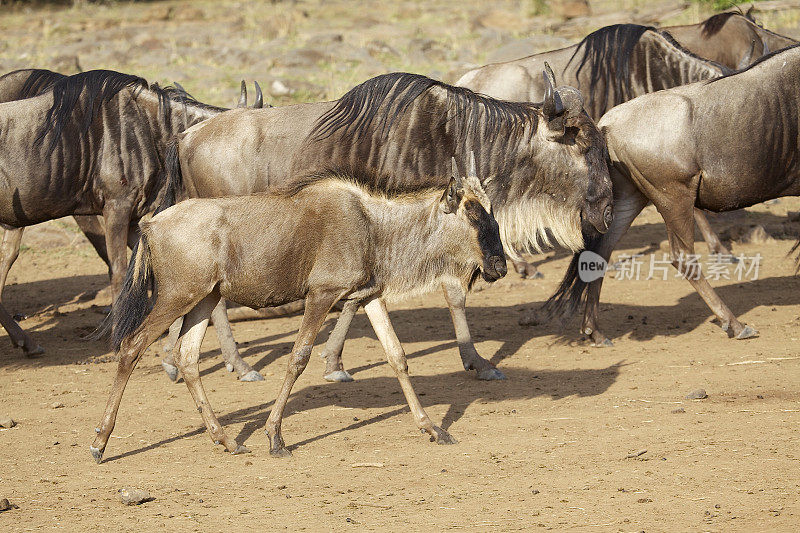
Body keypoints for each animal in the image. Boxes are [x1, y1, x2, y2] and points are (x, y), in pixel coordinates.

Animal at [90, 158, 506, 462]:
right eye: (472, 214)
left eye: (491, 212)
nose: (499, 267)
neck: (372, 225)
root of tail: (151, 223)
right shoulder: (321, 295)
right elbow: (298, 358)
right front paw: (275, 438)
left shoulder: (370, 295)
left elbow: (397, 356)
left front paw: (432, 428)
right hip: (177, 297)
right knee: (131, 346)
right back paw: (100, 443)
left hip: (204, 299)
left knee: (188, 358)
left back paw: (227, 440)